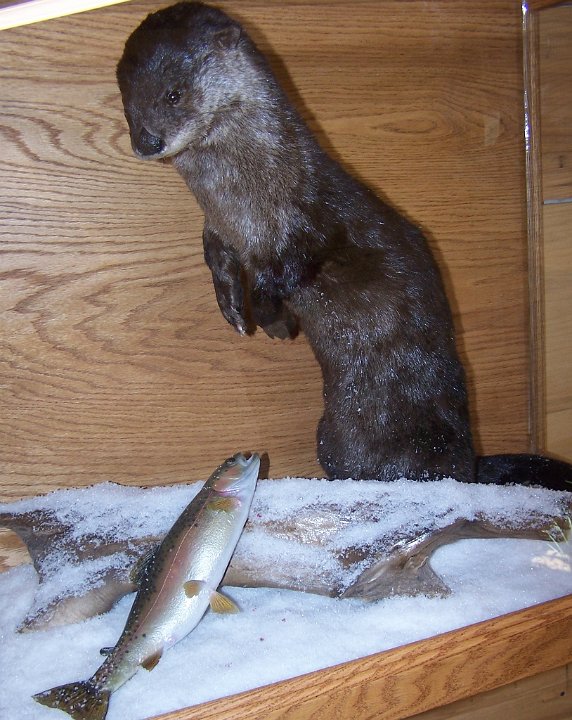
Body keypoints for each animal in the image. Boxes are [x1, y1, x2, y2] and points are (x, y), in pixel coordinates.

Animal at [117, 2, 572, 489]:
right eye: (127, 105)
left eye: (173, 94)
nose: (146, 141)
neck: (247, 203)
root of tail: (468, 464)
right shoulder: (219, 228)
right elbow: (215, 258)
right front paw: (233, 308)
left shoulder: (307, 222)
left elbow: (289, 270)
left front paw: (273, 320)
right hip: (330, 438)